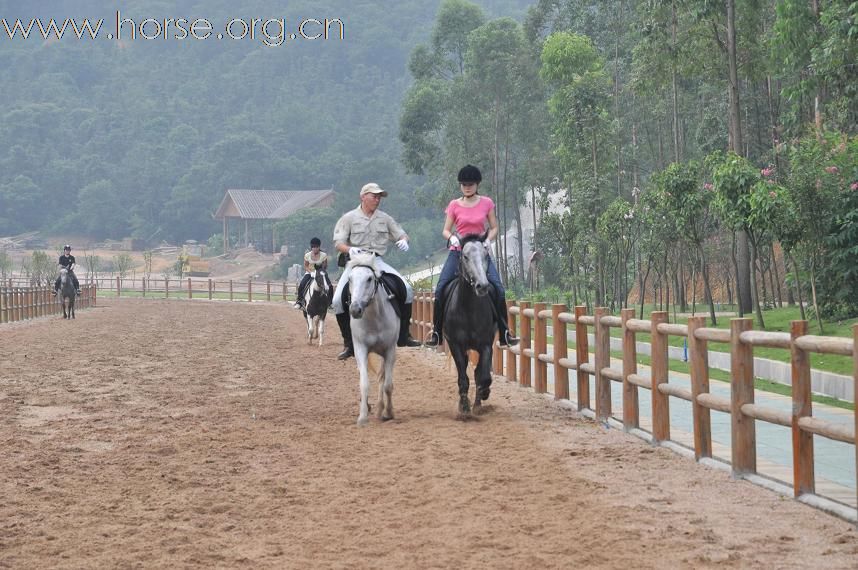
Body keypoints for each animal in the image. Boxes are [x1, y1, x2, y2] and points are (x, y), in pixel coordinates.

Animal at [346, 253, 400, 426]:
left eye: (369, 278)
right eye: (350, 279)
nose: (355, 310)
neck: (374, 318)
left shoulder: (389, 350)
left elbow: (388, 385)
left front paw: (388, 413)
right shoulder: (360, 349)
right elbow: (364, 384)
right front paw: (362, 417)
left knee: (383, 378)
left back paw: (380, 408)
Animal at [442, 232, 494, 418]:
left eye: (486, 254)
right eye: (465, 256)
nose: (482, 286)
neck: (469, 309)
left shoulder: (486, 344)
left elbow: (483, 376)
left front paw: (483, 395)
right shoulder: (455, 345)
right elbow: (463, 378)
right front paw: (464, 408)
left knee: (478, 372)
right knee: (464, 370)